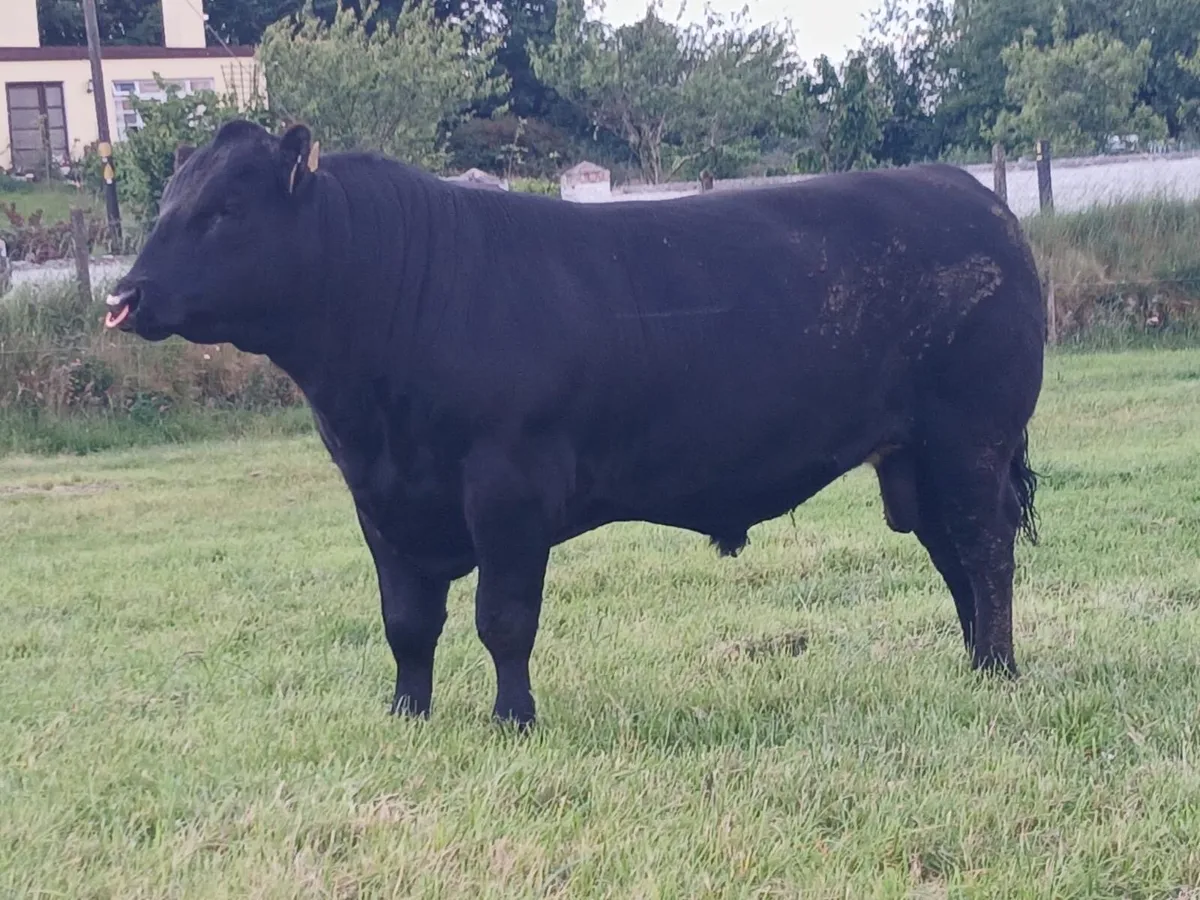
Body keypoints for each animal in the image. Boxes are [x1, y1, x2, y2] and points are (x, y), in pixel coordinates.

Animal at [105, 120, 1045, 729]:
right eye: (169, 201)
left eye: (227, 209)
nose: (123, 294)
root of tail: (971, 194)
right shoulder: (380, 504)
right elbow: (406, 622)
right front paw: (407, 714)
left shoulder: (508, 490)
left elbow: (502, 617)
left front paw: (512, 720)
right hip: (917, 458)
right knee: (953, 553)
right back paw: (976, 667)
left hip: (972, 438)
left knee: (985, 548)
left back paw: (1001, 671)